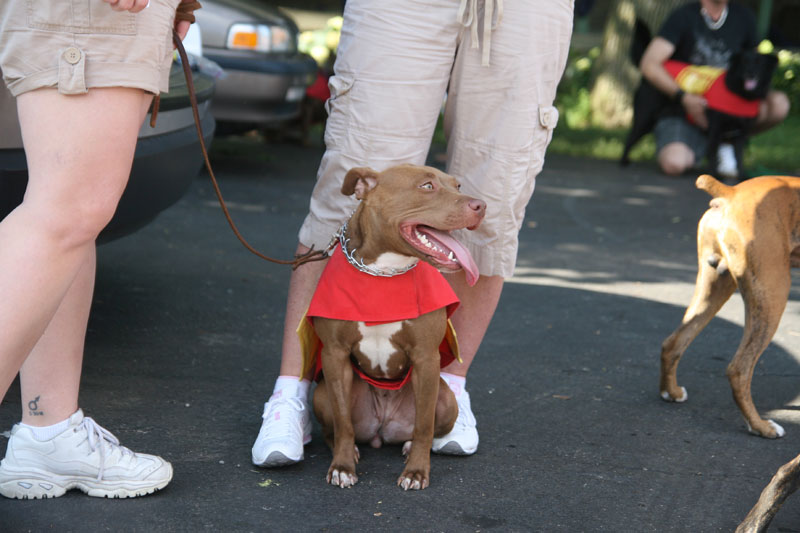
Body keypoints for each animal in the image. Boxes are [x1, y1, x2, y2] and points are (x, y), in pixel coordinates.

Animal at [300, 163, 484, 490]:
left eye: (458, 186)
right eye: (427, 186)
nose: (481, 206)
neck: (384, 271)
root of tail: (382, 430)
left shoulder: (425, 358)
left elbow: (424, 426)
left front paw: (416, 472)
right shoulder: (335, 354)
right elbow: (344, 423)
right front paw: (342, 466)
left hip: (446, 399)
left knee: (428, 425)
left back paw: (410, 445)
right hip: (322, 395)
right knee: (334, 429)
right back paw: (351, 450)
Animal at [660, 174, 800, 436]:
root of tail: (731, 193)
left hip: (715, 285)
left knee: (674, 342)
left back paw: (671, 393)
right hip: (772, 293)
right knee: (739, 369)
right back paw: (761, 427)